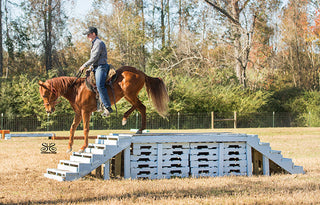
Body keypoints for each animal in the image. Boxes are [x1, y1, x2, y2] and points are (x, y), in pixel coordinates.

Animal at [38, 65, 169, 152]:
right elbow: (72, 128)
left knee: (141, 107)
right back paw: (126, 119)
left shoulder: (85, 112)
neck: (76, 90)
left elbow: (85, 129)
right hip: (128, 96)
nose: (48, 110)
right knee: (139, 107)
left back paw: (139, 128)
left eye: (44, 95)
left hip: (130, 94)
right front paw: (70, 147)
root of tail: (141, 73)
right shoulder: (78, 113)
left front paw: (83, 147)